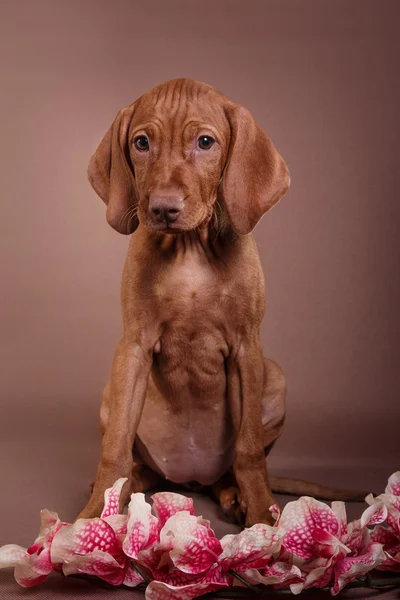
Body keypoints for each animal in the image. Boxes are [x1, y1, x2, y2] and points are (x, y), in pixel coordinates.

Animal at [77, 78, 366, 524]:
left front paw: (263, 519)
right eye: (141, 143)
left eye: (205, 142)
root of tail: (190, 481)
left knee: (229, 470)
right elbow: (115, 448)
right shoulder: (134, 346)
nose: (162, 208)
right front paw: (94, 517)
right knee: (138, 461)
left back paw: (235, 496)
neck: (190, 250)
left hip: (274, 376)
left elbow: (249, 451)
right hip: (113, 391)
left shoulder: (247, 347)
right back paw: (128, 486)